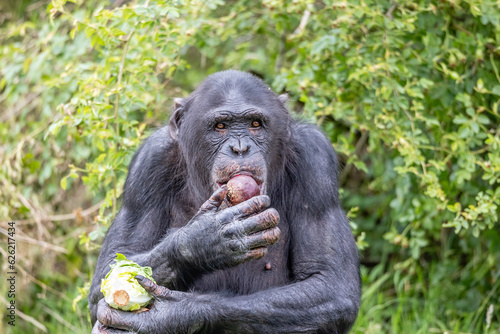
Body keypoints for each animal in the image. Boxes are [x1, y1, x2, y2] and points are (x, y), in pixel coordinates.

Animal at [87, 69, 360, 332]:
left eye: (255, 124)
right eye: (220, 126)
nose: (240, 148)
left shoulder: (315, 159)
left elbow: (329, 282)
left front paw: (171, 315)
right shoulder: (148, 164)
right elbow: (110, 270)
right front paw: (203, 240)